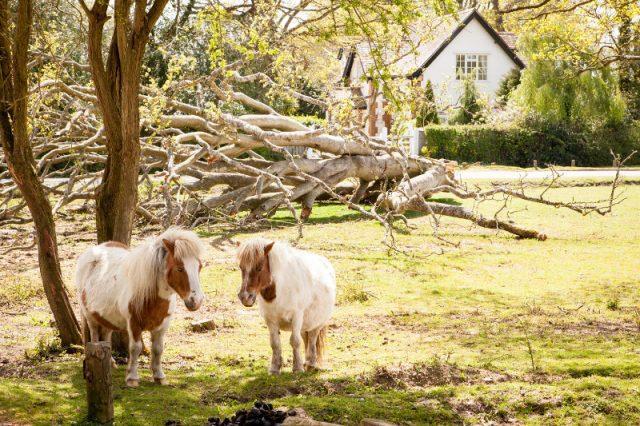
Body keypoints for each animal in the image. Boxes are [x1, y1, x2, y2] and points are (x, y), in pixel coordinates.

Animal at [75, 228, 206, 388]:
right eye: (180, 268)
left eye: (199, 266)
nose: (196, 301)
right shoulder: (134, 324)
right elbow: (135, 348)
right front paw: (132, 378)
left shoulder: (162, 325)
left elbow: (158, 349)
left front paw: (159, 376)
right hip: (90, 316)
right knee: (94, 337)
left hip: (106, 316)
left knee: (106, 336)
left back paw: (110, 363)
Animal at [235, 238, 336, 374]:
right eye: (241, 267)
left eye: (259, 267)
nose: (245, 297)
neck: (279, 290)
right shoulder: (270, 320)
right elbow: (275, 343)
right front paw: (274, 368)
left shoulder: (296, 316)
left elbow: (295, 341)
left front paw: (297, 368)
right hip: (305, 324)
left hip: (318, 323)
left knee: (312, 338)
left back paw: (311, 363)